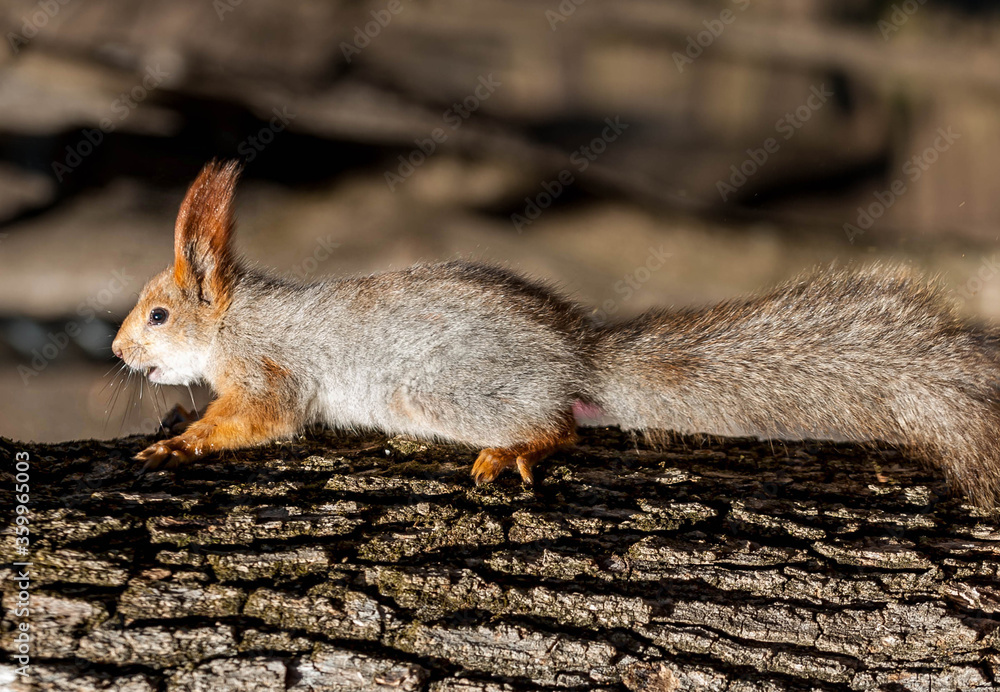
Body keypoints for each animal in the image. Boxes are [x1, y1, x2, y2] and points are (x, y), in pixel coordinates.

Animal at [112, 160, 1000, 508]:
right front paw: (175, 417)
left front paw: (181, 441)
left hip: (444, 392)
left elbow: (259, 420)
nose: (119, 352)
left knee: (558, 427)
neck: (236, 320)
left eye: (159, 315)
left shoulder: (269, 371)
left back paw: (515, 450)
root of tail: (579, 358)